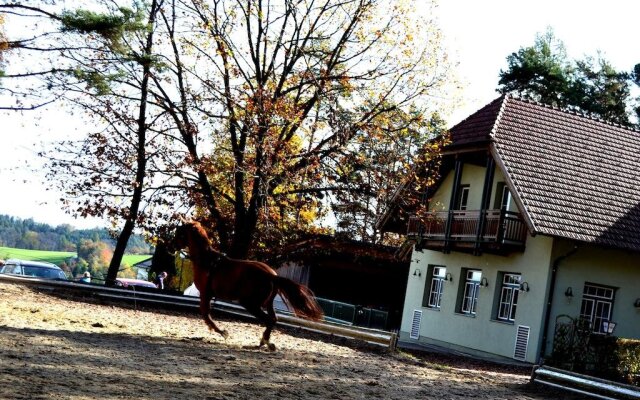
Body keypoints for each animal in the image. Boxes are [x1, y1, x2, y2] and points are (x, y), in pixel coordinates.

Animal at [172, 222, 322, 350]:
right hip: (267, 303)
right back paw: (265, 342)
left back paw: (265, 342)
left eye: (180, 232)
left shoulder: (205, 294)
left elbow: (206, 315)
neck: (207, 262)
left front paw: (223, 332)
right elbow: (205, 315)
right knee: (273, 319)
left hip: (250, 304)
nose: (172, 245)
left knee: (269, 320)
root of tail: (272, 275)